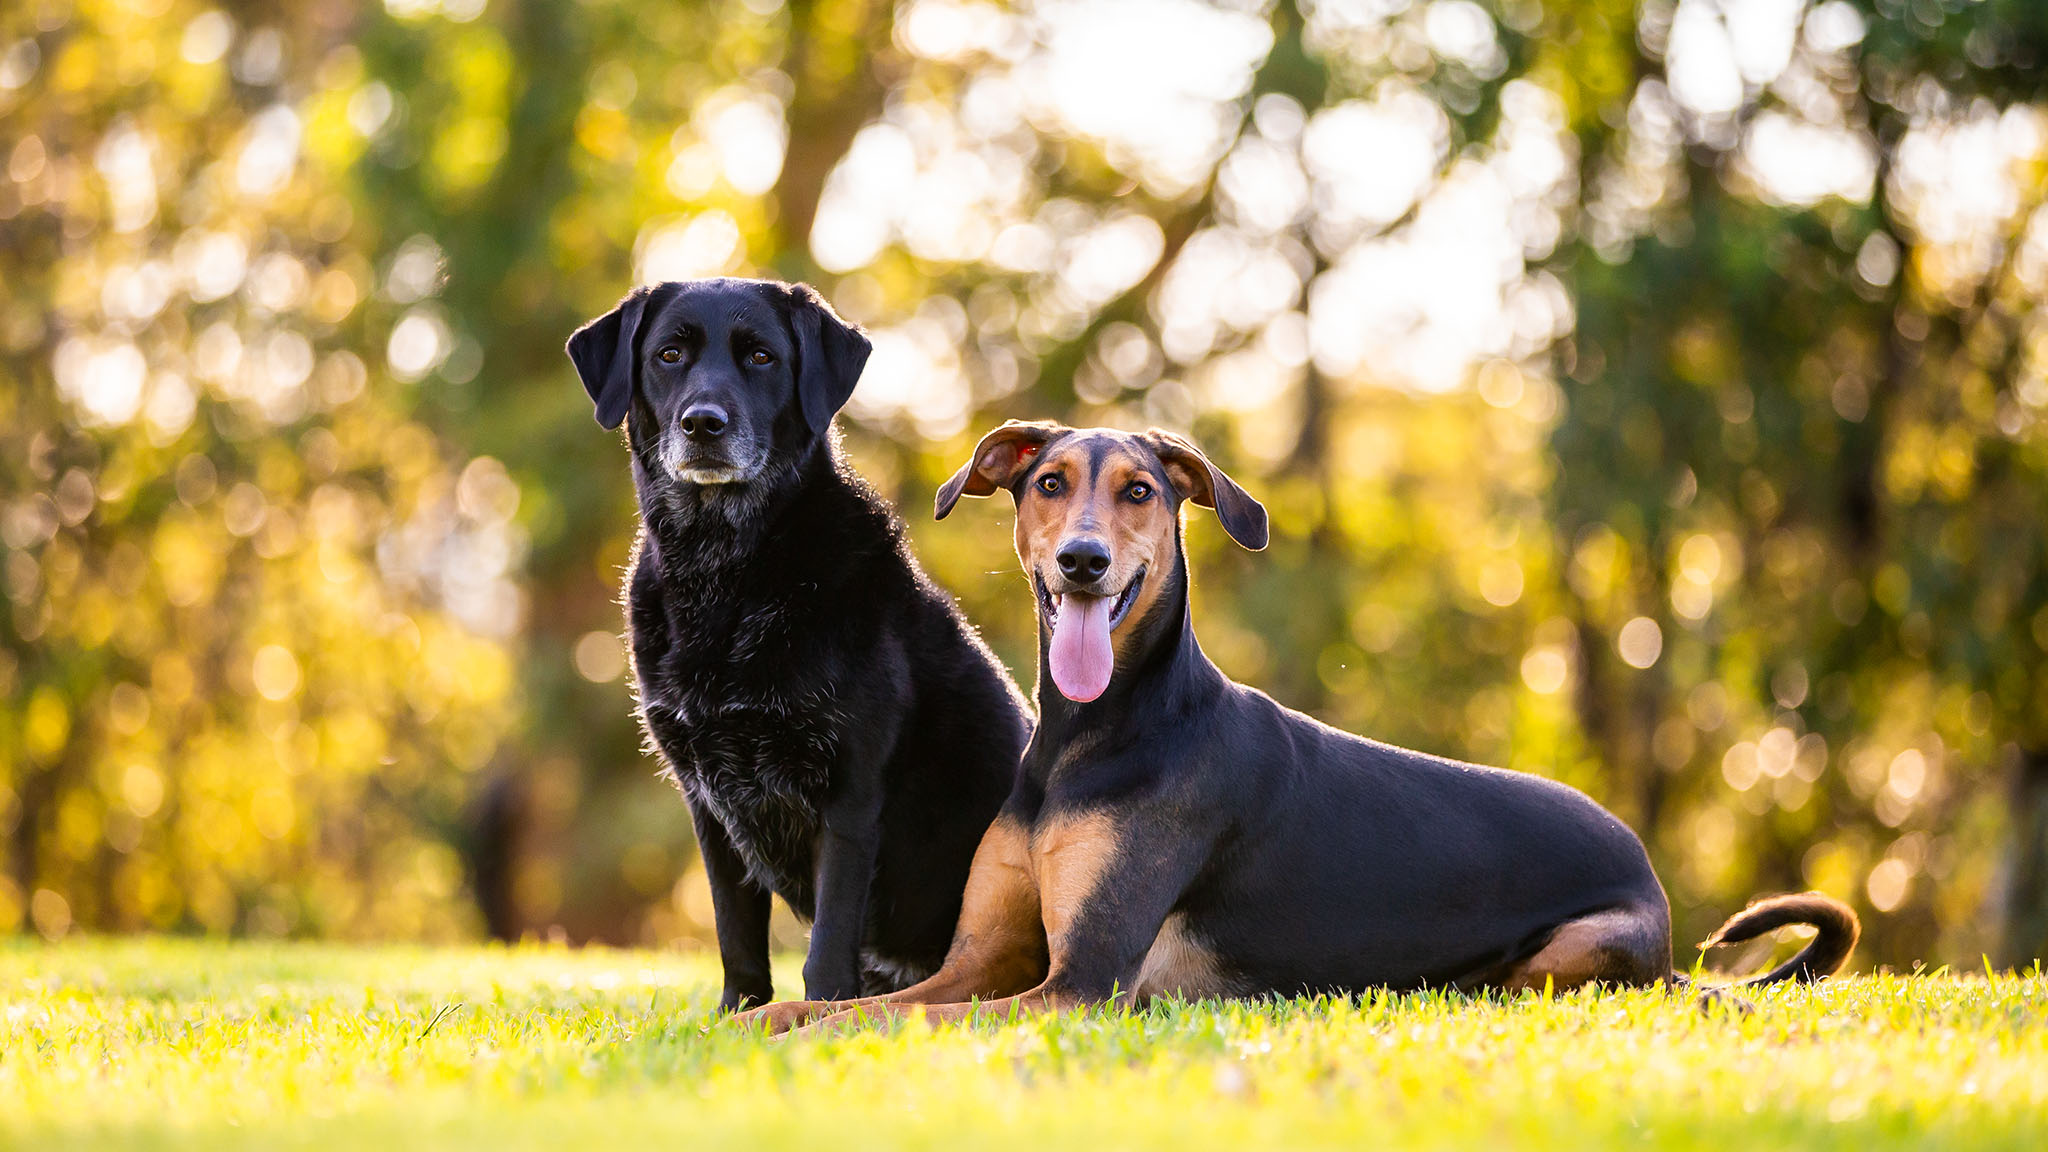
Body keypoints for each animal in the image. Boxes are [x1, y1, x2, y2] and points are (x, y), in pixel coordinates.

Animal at [737, 422, 1859, 1033]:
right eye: (1048, 483)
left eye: (1138, 490)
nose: (1083, 563)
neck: (1092, 739)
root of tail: (1652, 887)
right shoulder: (982, 961)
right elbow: (861, 1006)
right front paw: (776, 1016)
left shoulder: (1076, 987)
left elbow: (914, 1023)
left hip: (1583, 948)